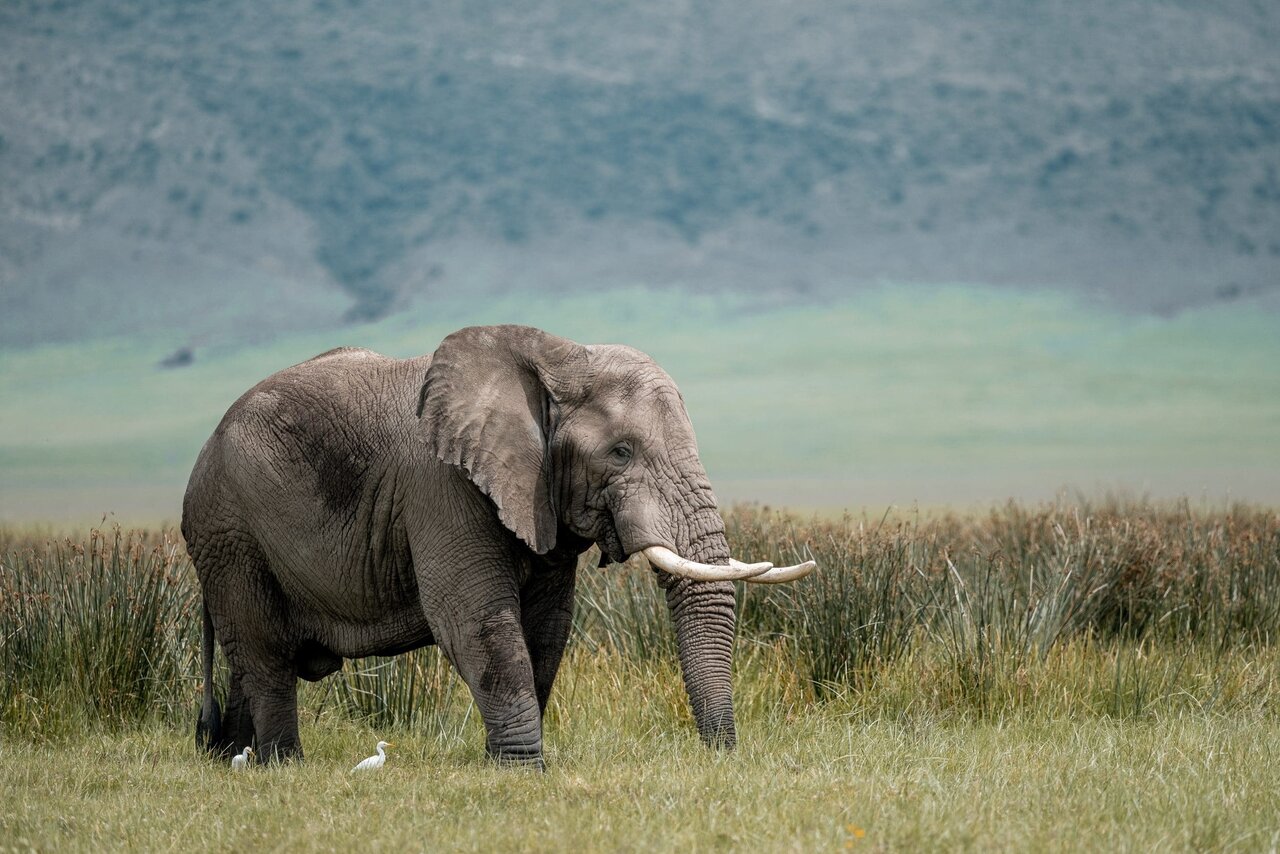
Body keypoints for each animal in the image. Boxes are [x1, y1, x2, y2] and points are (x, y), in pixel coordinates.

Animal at [182, 324, 814, 767]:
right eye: (621, 453)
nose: (720, 756)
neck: (560, 355)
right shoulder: (439, 485)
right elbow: (474, 618)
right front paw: (523, 770)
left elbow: (548, 626)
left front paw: (504, 765)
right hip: (229, 531)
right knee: (264, 654)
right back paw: (282, 766)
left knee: (249, 656)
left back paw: (232, 760)